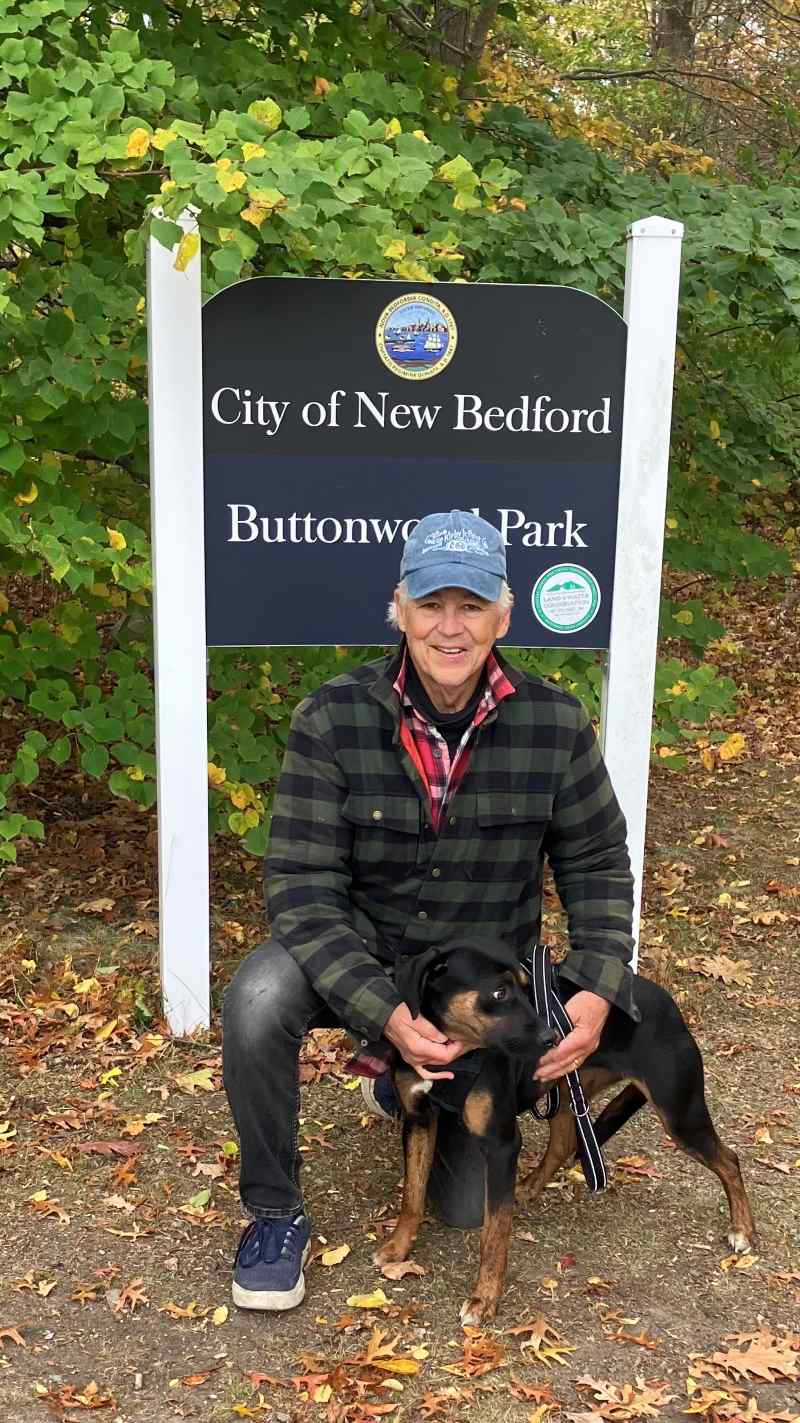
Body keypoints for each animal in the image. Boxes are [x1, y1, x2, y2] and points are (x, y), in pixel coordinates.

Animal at [373, 938, 757, 1326]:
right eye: (499, 992)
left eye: (528, 988)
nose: (552, 1037)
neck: (455, 1060)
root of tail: (671, 1006)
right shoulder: (418, 1119)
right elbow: (413, 1195)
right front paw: (397, 1248)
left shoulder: (500, 1145)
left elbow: (493, 1233)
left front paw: (484, 1298)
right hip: (569, 1089)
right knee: (563, 1143)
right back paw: (529, 1186)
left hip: (679, 1113)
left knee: (729, 1159)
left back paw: (743, 1230)